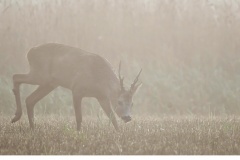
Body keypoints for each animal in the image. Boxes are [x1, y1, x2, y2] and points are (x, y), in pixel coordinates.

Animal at [11, 43, 142, 131]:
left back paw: (32, 127)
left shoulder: (102, 97)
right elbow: (79, 117)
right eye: (119, 102)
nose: (128, 117)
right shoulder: (77, 89)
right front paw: (78, 133)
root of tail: (30, 52)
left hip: (49, 83)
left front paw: (118, 134)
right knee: (16, 76)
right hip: (40, 75)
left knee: (30, 99)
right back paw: (16, 117)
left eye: (132, 103)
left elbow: (112, 118)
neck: (99, 79)